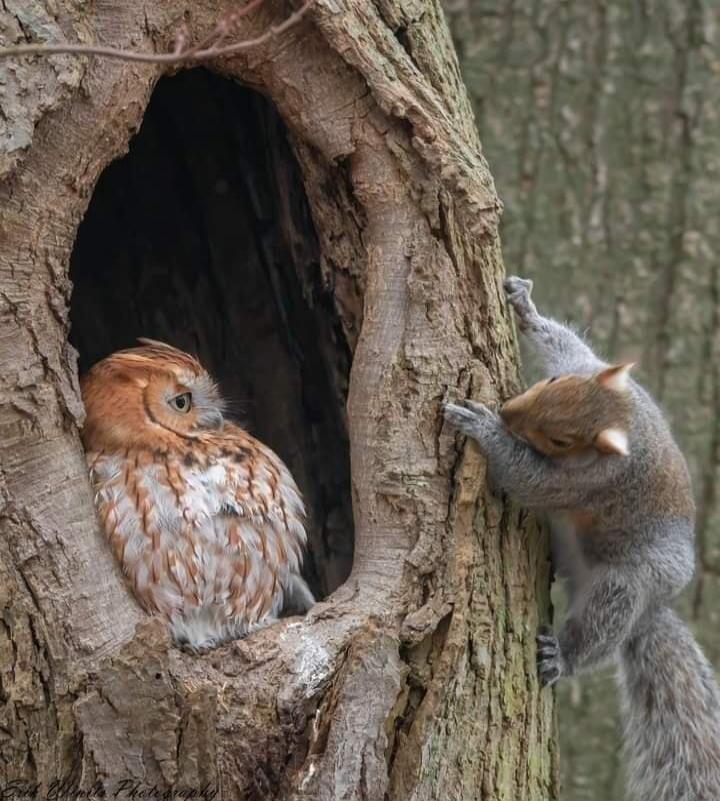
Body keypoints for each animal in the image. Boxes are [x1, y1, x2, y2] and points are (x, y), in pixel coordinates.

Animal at [444, 275, 720, 801]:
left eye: (561, 441)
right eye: (555, 383)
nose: (507, 412)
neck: (629, 418)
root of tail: (654, 609)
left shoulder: (583, 482)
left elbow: (525, 476)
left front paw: (481, 426)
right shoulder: (582, 364)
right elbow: (565, 343)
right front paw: (524, 305)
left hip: (624, 586)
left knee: (600, 631)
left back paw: (562, 657)